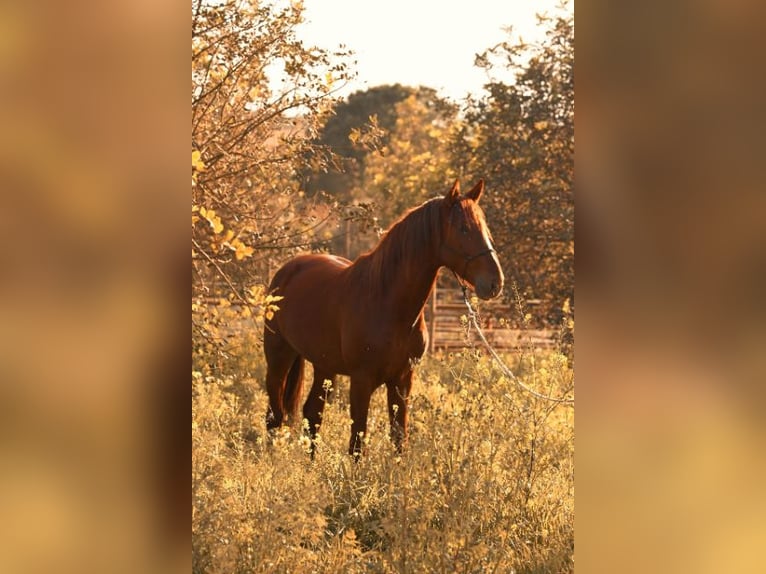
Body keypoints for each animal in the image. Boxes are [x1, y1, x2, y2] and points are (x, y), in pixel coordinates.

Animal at [263, 179, 504, 457]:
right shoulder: (361, 380)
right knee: (275, 416)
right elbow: (357, 441)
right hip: (279, 357)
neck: (388, 304)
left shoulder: (402, 380)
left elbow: (399, 437)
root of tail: (287, 271)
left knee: (312, 414)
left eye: (484, 228)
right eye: (464, 229)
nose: (495, 283)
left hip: (325, 366)